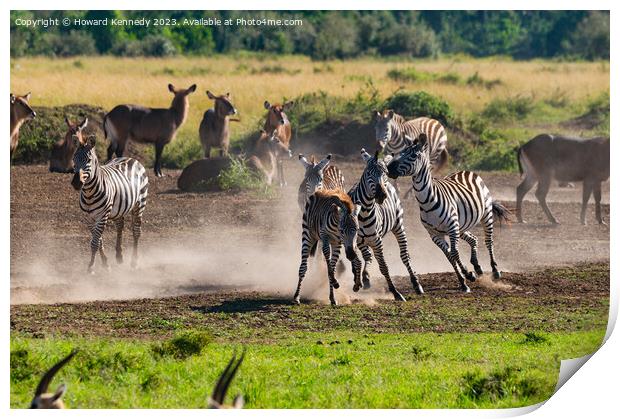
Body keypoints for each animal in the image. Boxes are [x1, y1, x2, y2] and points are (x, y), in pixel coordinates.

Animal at [70, 119, 149, 276]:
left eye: (88, 160)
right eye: (74, 158)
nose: (76, 183)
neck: (89, 193)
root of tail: (130, 158)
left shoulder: (103, 216)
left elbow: (94, 242)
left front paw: (91, 267)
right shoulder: (89, 218)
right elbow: (98, 240)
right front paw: (105, 263)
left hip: (139, 204)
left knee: (136, 231)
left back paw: (134, 262)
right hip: (119, 208)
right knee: (120, 226)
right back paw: (119, 256)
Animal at [346, 149, 424, 300]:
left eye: (384, 173)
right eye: (368, 173)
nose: (381, 195)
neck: (363, 213)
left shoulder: (377, 241)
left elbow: (383, 266)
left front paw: (395, 292)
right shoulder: (352, 240)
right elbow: (357, 261)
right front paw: (358, 280)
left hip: (398, 226)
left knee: (405, 256)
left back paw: (416, 284)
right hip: (363, 241)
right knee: (367, 257)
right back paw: (365, 277)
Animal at [386, 134, 512, 292]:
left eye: (413, 155)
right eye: (398, 153)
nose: (389, 168)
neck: (427, 202)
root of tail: (465, 171)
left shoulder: (452, 228)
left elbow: (454, 253)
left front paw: (466, 276)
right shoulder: (435, 235)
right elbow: (449, 257)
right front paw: (465, 279)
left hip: (485, 215)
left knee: (488, 241)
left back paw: (495, 271)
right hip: (461, 226)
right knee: (473, 239)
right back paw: (477, 268)